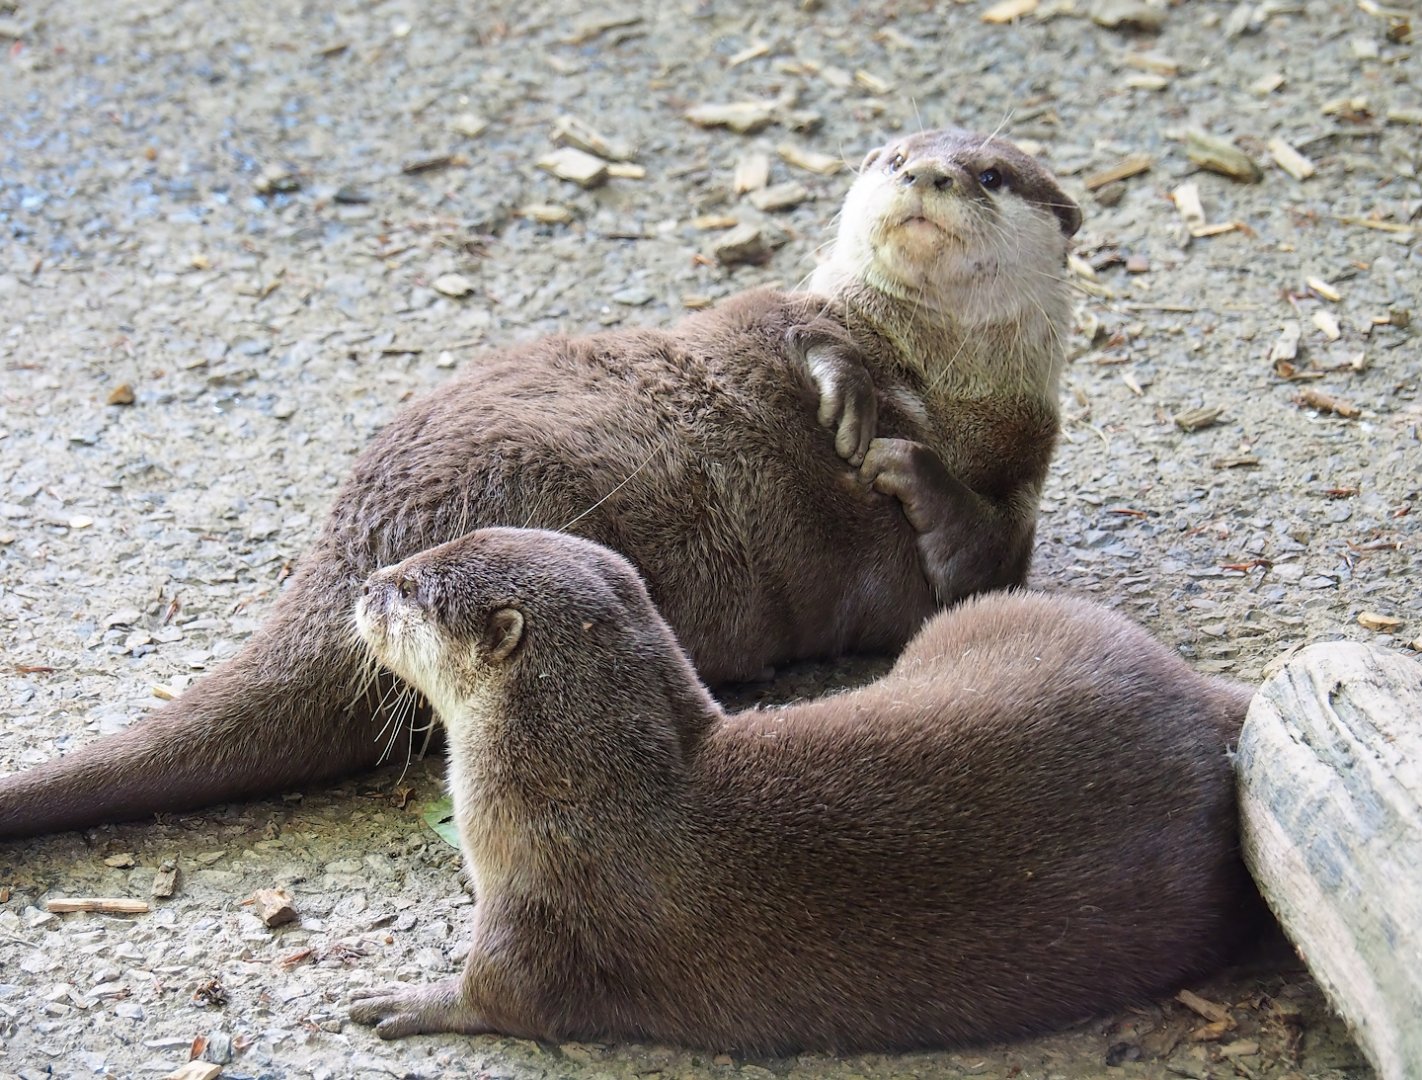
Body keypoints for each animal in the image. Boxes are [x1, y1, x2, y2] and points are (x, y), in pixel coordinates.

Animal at [0, 128, 1080, 837]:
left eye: (990, 174)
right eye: (892, 160)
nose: (930, 173)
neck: (930, 378)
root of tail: (355, 556)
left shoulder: (1022, 463)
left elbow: (985, 556)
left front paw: (908, 469)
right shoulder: (779, 310)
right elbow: (789, 330)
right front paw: (851, 403)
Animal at [348, 527, 1257, 1054]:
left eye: (412, 586)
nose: (363, 583)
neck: (574, 788)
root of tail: (1204, 701)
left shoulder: (542, 895)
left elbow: (501, 995)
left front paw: (410, 998)